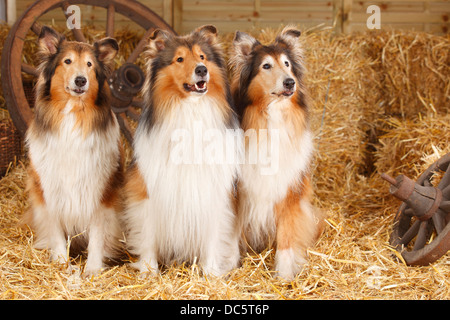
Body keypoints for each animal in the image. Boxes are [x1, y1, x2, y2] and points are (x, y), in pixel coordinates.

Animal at [25, 26, 124, 278]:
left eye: (89, 64)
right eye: (67, 61)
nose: (80, 80)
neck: (73, 114)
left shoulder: (101, 190)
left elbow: (98, 234)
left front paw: (92, 269)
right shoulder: (49, 189)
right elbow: (56, 232)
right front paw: (62, 264)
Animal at [122, 25, 243, 276]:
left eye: (202, 57)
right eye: (179, 59)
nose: (201, 70)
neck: (190, 109)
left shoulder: (214, 191)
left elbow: (212, 236)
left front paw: (211, 273)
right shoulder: (149, 187)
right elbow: (148, 233)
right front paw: (149, 270)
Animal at [232, 26, 324, 278]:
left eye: (287, 64)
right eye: (266, 66)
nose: (290, 83)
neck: (272, 117)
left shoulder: (290, 191)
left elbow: (287, 237)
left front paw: (284, 275)